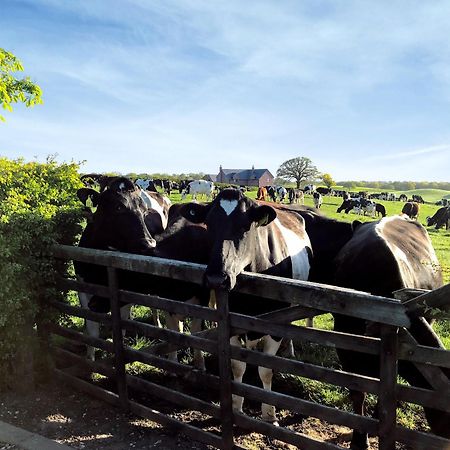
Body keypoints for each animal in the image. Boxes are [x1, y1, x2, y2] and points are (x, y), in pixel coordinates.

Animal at [178, 189, 312, 426]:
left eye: (245, 226)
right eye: (209, 224)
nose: (216, 277)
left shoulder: (275, 325)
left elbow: (266, 370)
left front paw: (270, 414)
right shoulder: (232, 324)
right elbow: (237, 366)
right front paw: (237, 408)